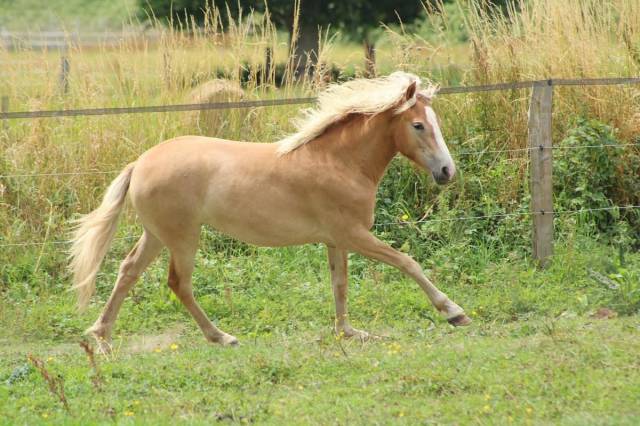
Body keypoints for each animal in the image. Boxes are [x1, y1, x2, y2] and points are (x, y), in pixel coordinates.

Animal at [71, 70, 470, 350]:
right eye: (418, 125)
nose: (447, 171)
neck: (339, 162)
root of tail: (140, 163)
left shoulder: (336, 240)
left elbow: (339, 284)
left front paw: (348, 332)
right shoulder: (354, 235)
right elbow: (407, 262)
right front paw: (454, 312)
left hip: (155, 235)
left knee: (128, 271)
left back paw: (101, 336)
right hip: (183, 238)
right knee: (178, 284)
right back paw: (222, 337)